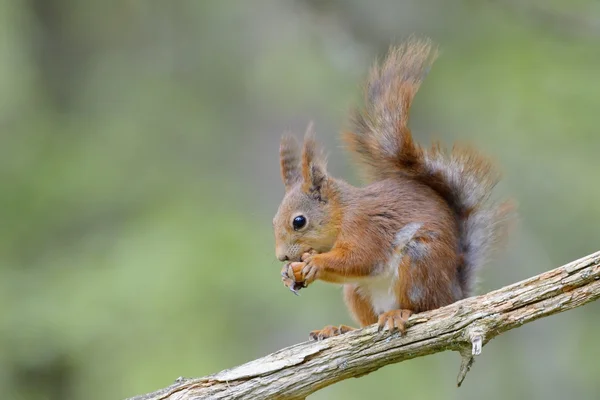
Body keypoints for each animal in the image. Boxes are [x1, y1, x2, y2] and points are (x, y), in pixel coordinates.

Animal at [272, 36, 510, 340]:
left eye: (299, 221)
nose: (281, 257)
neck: (342, 214)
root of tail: (453, 295)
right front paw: (289, 273)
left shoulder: (366, 228)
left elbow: (362, 258)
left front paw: (316, 262)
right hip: (356, 291)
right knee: (368, 320)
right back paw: (338, 329)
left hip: (419, 263)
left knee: (423, 307)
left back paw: (400, 313)